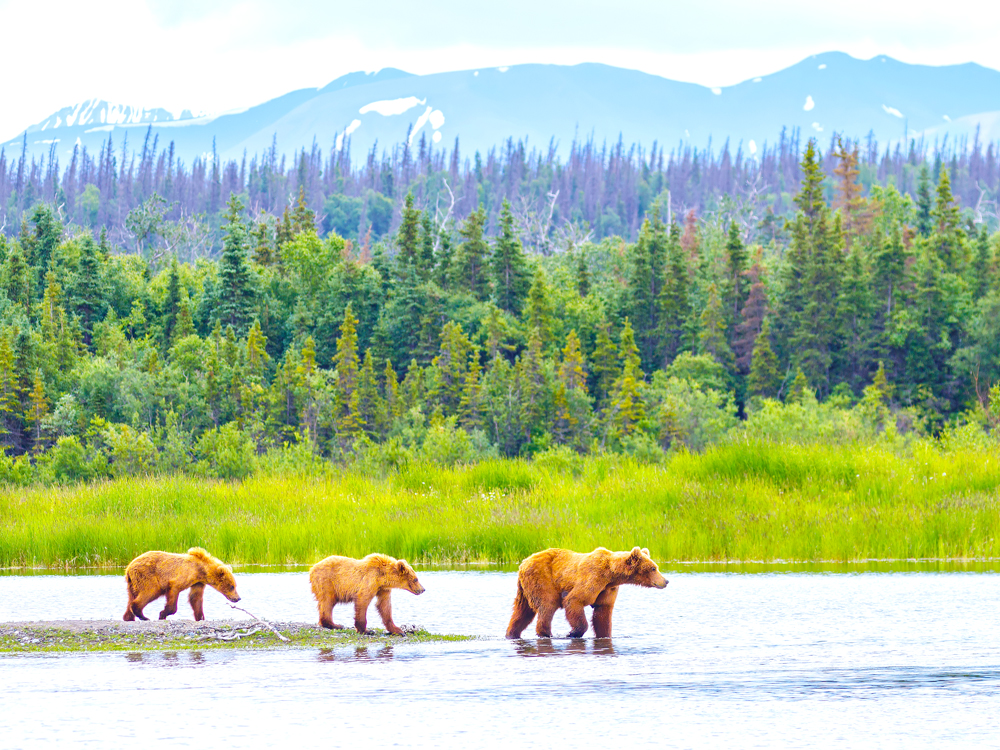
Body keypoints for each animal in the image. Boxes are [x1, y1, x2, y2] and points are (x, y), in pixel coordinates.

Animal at [508, 548, 664, 640]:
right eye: (653, 568)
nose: (665, 581)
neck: (611, 575)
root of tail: (523, 563)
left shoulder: (607, 589)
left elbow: (602, 613)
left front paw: (604, 635)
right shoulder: (592, 578)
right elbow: (574, 600)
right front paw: (572, 633)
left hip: (525, 588)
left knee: (522, 612)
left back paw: (512, 633)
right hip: (542, 579)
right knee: (547, 605)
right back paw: (546, 633)